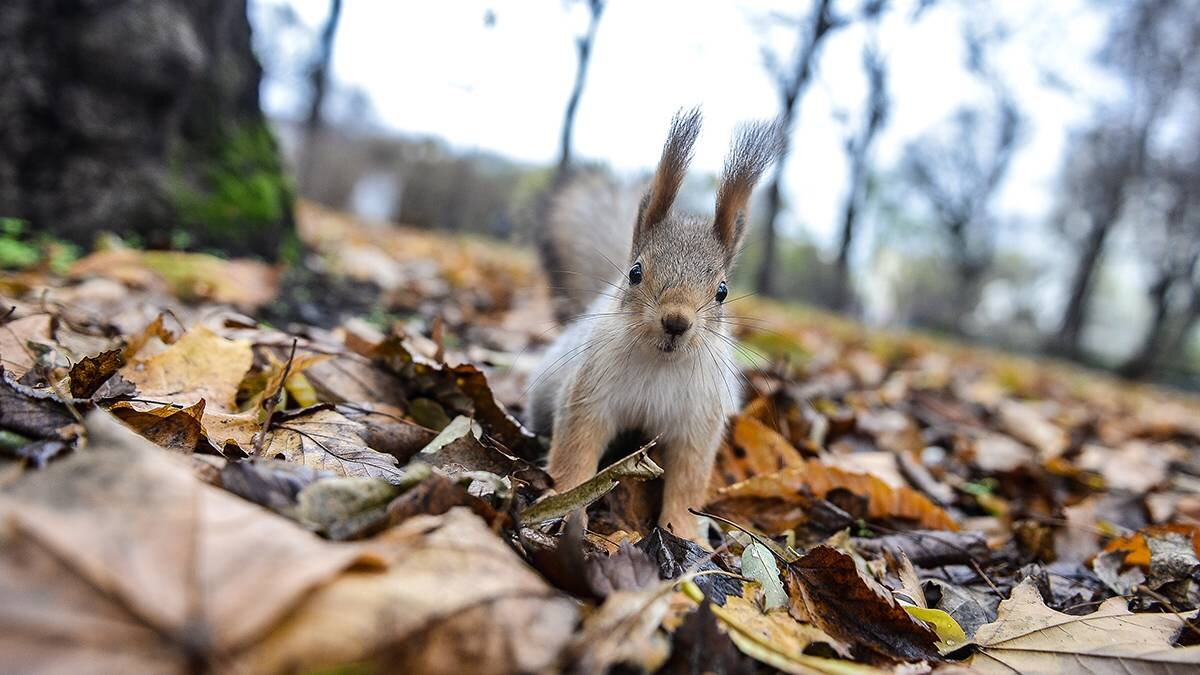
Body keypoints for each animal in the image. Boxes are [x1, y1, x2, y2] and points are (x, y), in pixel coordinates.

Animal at [530, 109, 782, 535]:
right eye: (635, 272)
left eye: (723, 291)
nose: (676, 321)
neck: (661, 364)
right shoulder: (588, 394)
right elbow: (574, 452)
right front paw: (563, 502)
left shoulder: (699, 422)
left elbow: (688, 483)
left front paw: (683, 532)